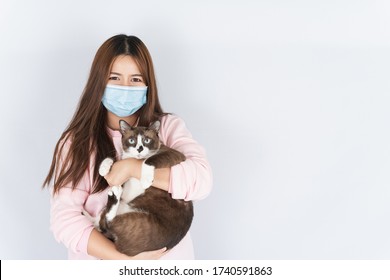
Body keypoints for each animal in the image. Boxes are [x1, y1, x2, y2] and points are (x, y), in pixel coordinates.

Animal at [85, 119, 195, 258]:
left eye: (146, 140)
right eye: (132, 140)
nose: (139, 148)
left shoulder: (175, 154)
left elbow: (149, 160)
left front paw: (146, 179)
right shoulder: (125, 185)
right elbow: (114, 159)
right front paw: (103, 168)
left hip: (138, 221)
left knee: (108, 223)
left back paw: (113, 196)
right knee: (101, 223)